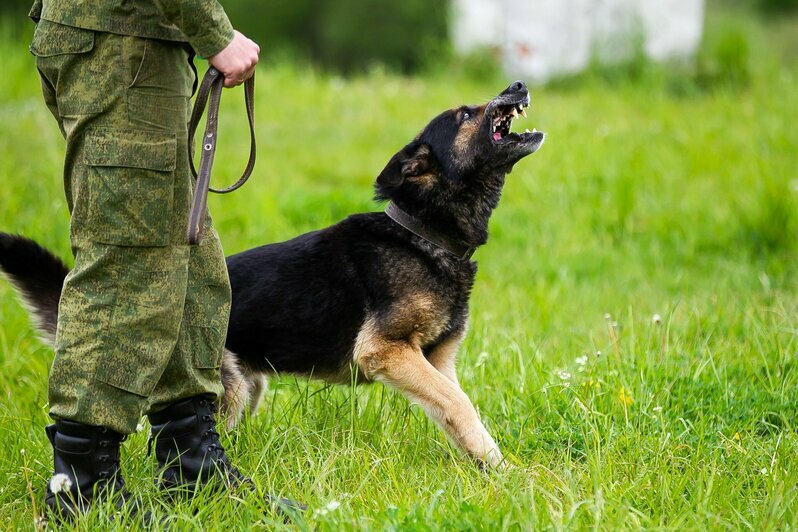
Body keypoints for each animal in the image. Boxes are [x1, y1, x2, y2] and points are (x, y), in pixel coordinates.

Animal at [0, 81, 544, 468]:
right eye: (465, 114)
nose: (518, 84)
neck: (422, 232)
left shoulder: (436, 361)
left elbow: (458, 410)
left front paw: (496, 470)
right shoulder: (386, 351)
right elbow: (462, 405)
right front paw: (504, 472)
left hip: (245, 386)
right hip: (225, 389)